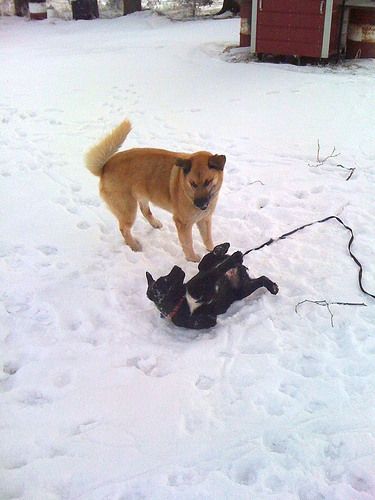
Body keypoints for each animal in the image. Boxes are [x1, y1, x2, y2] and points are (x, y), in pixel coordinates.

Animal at [85, 121, 226, 262]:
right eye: (193, 184)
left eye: (208, 182)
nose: (200, 205)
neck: (186, 188)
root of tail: (104, 167)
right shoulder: (183, 224)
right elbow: (188, 244)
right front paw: (194, 260)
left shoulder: (205, 219)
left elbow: (208, 239)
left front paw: (214, 251)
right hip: (128, 211)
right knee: (124, 229)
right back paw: (134, 246)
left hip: (142, 197)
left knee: (145, 211)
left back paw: (155, 223)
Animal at [147, 243, 280, 330]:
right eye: (165, 279)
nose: (176, 267)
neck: (181, 301)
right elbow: (208, 320)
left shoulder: (203, 281)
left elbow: (217, 271)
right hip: (242, 290)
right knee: (261, 279)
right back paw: (272, 286)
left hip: (205, 265)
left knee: (210, 256)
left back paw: (223, 248)